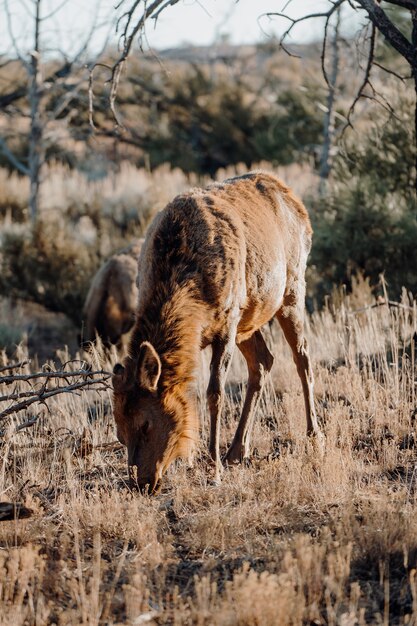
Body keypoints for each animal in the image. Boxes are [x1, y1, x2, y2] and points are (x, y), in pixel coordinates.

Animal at [110, 172, 318, 492]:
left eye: (145, 424)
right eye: (120, 432)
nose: (142, 483)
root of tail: (296, 202)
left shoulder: (227, 324)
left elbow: (214, 393)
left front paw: (213, 469)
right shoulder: (212, 331)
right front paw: (196, 460)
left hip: (292, 289)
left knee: (302, 358)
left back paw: (313, 435)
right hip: (249, 316)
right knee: (264, 361)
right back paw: (237, 450)